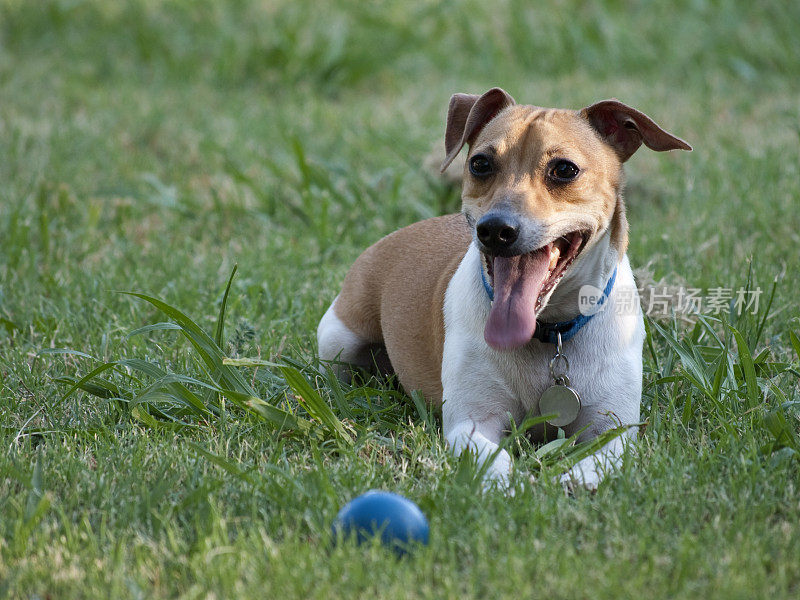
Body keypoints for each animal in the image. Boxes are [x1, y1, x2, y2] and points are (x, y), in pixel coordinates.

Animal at [316, 86, 692, 490]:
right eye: (480, 163)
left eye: (564, 169)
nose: (495, 229)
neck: (550, 332)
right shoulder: (471, 421)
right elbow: (494, 462)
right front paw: (515, 486)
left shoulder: (614, 428)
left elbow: (603, 457)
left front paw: (575, 480)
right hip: (338, 338)